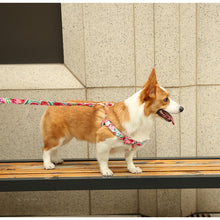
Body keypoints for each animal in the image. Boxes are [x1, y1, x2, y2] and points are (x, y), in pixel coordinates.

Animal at [41, 68, 184, 176]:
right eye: (166, 99)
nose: (182, 108)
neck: (142, 115)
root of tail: (51, 106)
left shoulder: (131, 145)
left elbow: (129, 159)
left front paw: (132, 169)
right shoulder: (103, 143)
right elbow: (104, 160)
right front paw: (106, 171)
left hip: (65, 138)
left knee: (54, 149)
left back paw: (56, 160)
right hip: (58, 136)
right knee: (46, 149)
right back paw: (48, 164)